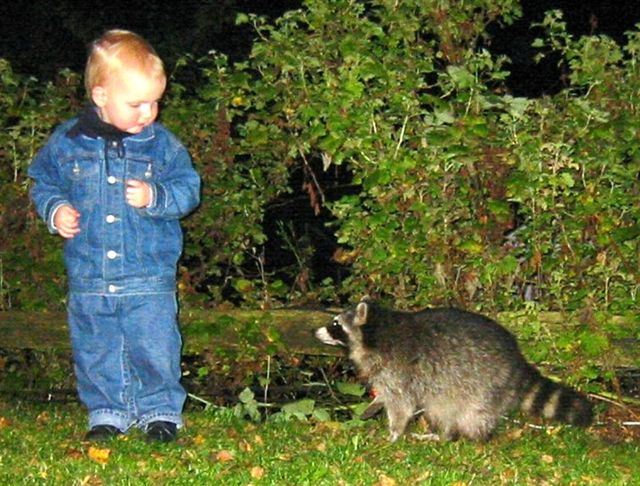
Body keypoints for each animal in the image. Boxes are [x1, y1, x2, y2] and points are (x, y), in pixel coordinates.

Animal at [316, 298, 596, 442]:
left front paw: (394, 433)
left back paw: (464, 437)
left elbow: (402, 405)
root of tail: (517, 360)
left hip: (484, 385)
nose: (316, 332)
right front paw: (374, 405)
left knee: (467, 414)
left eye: (335, 324)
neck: (377, 331)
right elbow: (389, 395)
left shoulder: (398, 369)